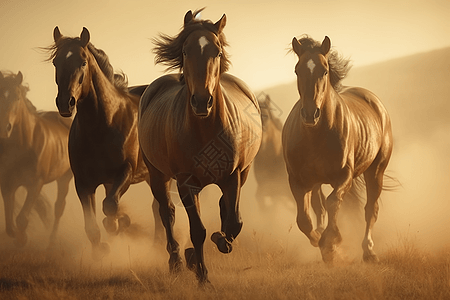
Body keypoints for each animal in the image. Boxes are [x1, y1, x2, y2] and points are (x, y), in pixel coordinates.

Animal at [0, 70, 72, 246]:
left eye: (17, 97)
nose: (5, 128)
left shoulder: (35, 184)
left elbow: (21, 219)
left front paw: (22, 238)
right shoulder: (7, 185)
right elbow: (10, 224)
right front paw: (18, 237)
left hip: (64, 178)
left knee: (59, 207)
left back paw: (52, 241)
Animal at [45, 27, 162, 258]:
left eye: (83, 62)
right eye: (56, 62)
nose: (65, 103)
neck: (103, 124)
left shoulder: (125, 171)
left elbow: (110, 206)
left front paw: (120, 224)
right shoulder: (83, 183)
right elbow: (92, 226)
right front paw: (102, 249)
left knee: (158, 207)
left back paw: (156, 245)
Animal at [139, 9, 262, 284]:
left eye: (217, 52)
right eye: (186, 51)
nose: (202, 101)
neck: (206, 131)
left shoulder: (233, 176)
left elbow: (234, 220)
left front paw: (221, 241)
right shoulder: (186, 183)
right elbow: (197, 230)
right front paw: (202, 274)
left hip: (244, 172)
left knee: (224, 208)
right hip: (157, 174)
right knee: (167, 213)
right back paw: (176, 260)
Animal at [284, 36, 394, 264]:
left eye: (324, 70)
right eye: (297, 70)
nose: (310, 114)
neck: (315, 136)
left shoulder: (344, 176)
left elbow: (333, 202)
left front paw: (332, 243)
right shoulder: (298, 180)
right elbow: (304, 219)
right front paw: (321, 241)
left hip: (376, 171)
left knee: (371, 210)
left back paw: (369, 252)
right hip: (317, 181)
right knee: (319, 208)